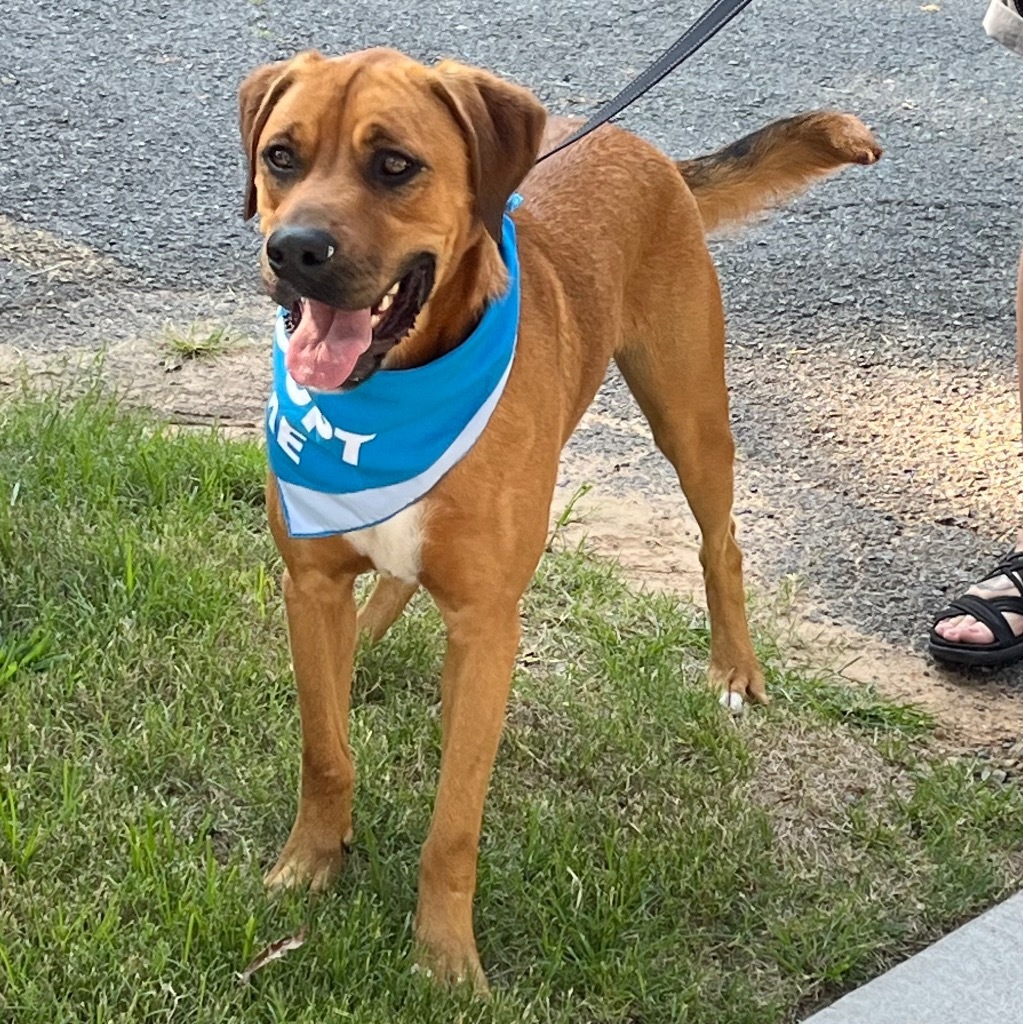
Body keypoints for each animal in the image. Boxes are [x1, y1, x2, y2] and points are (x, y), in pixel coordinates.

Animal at [237, 49, 880, 991]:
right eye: (280, 157)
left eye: (394, 165)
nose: (292, 251)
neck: (396, 394)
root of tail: (641, 145)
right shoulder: (311, 583)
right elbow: (325, 753)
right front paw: (309, 866)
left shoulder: (486, 627)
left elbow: (452, 825)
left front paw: (443, 958)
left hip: (689, 416)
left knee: (719, 542)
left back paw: (734, 666)